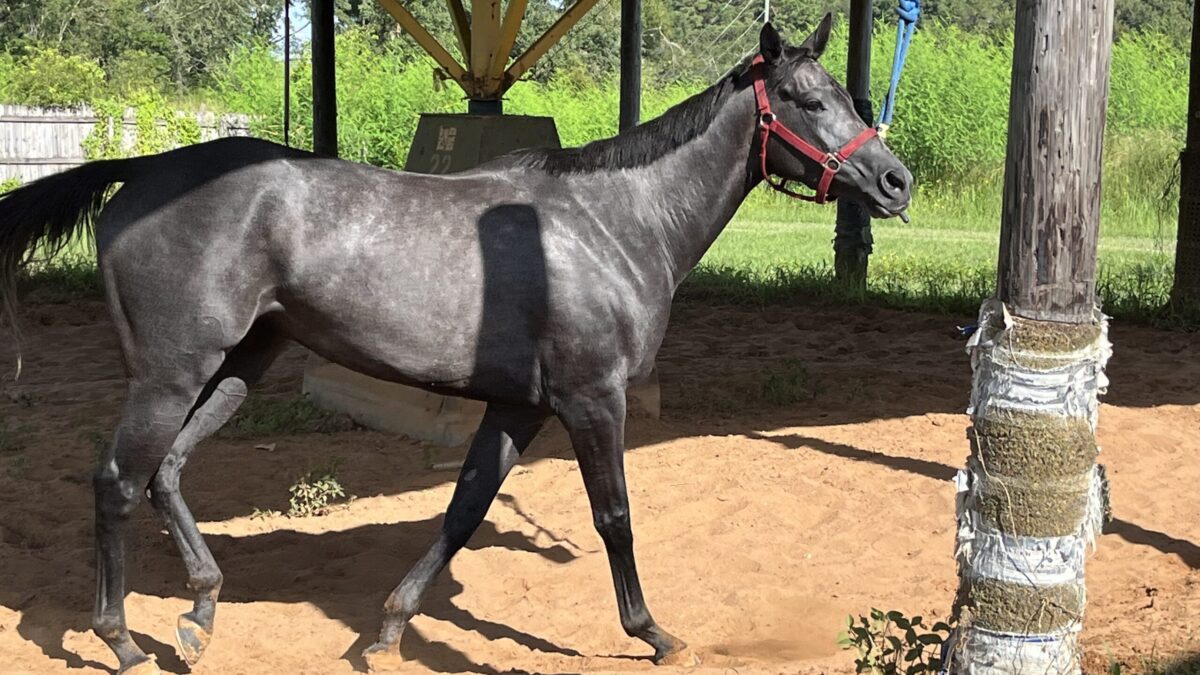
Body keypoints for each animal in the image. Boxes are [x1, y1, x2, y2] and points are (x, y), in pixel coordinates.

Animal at [0, 18, 910, 674]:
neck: (612, 225)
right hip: (169, 373)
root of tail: (143, 170)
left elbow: (465, 507)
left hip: (239, 365)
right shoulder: (591, 398)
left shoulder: (517, 405)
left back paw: (199, 612)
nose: (895, 182)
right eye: (804, 97)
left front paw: (387, 630)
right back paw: (121, 638)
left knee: (169, 472)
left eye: (849, 93)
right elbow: (614, 515)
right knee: (119, 480)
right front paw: (654, 631)